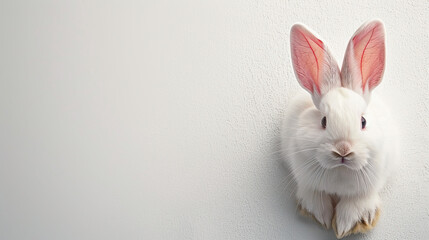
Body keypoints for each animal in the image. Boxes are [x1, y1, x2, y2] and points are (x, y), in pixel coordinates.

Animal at [280, 20, 398, 238]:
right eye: (324, 121)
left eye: (363, 122)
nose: (343, 150)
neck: (340, 172)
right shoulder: (308, 182)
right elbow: (315, 196)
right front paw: (321, 218)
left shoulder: (367, 187)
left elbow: (357, 203)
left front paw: (351, 225)